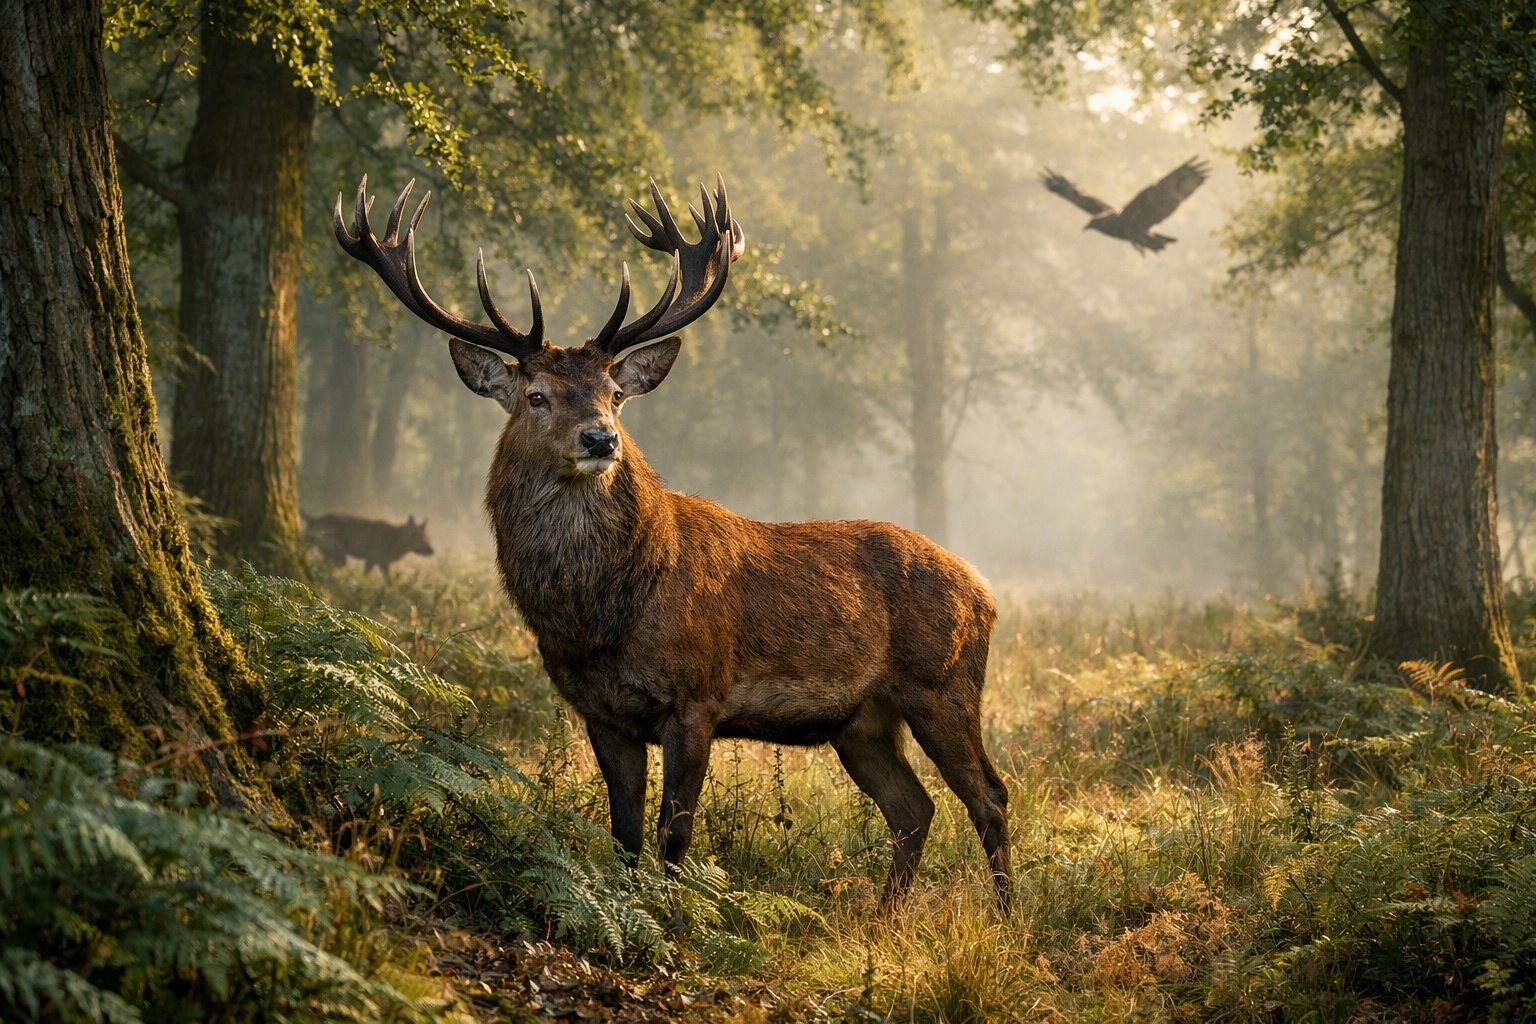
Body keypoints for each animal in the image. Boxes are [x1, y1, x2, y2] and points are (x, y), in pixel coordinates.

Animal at [302, 512, 434, 579]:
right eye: (421, 539)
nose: (432, 551)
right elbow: (365, 577)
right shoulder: (371, 559)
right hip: (339, 555)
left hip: (326, 550)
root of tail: (314, 519)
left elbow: (389, 583)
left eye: (429, 538)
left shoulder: (383, 564)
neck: (394, 541)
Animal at [333, 174, 1012, 912]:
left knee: (990, 794)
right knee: (914, 808)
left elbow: (676, 835)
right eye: (536, 395)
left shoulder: (698, 696)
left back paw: (1007, 918)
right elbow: (625, 834)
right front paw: (634, 912)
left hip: (943, 683)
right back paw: (885, 919)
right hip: (860, 721)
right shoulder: (600, 711)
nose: (600, 439)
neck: (602, 617)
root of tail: (984, 589)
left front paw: (672, 919)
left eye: (614, 394)